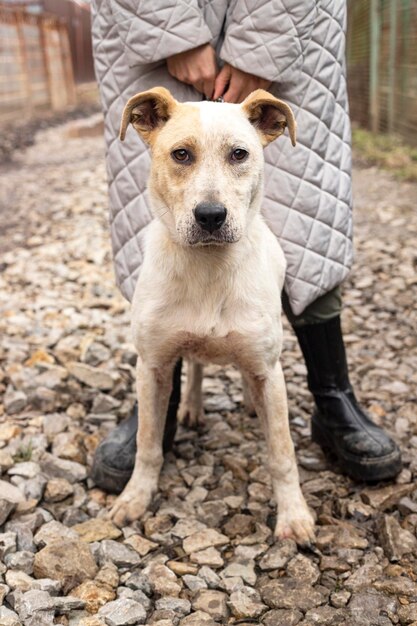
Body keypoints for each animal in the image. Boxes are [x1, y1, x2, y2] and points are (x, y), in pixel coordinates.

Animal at [109, 86, 314, 540]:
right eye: (181, 154)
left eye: (239, 154)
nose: (210, 216)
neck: (207, 267)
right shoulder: (152, 366)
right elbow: (148, 444)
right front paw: (135, 497)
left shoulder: (269, 371)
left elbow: (282, 452)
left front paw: (294, 516)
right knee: (196, 364)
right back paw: (192, 405)